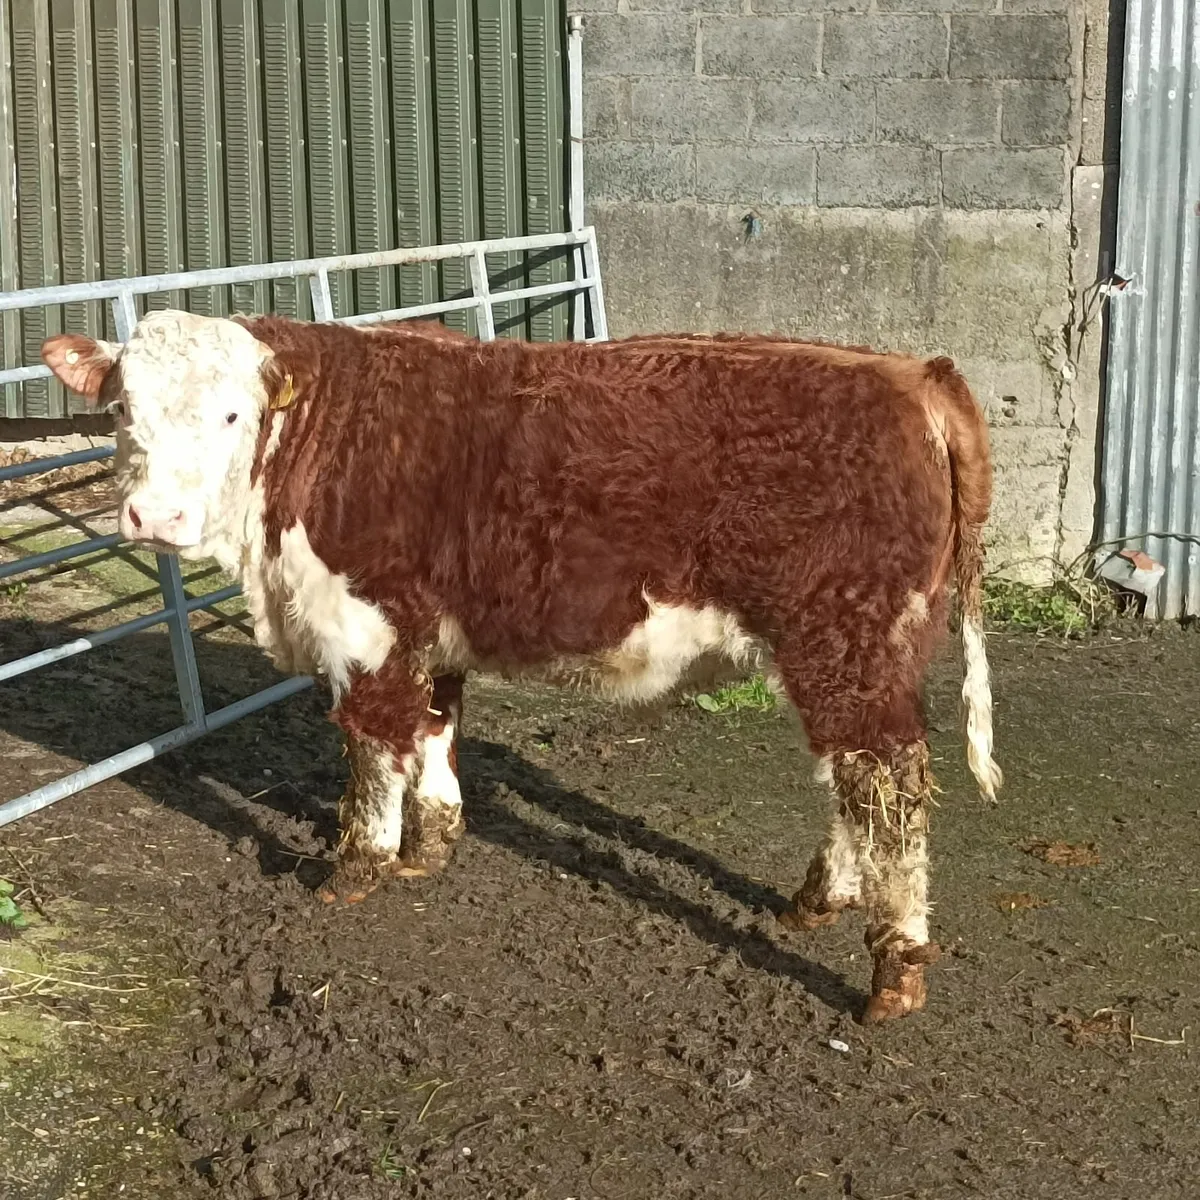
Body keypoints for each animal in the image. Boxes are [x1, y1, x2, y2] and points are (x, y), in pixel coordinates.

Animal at [42, 311, 1001, 1023]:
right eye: (124, 411)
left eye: (233, 415)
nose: (156, 517)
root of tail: (911, 372)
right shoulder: (428, 631)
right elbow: (433, 730)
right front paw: (431, 846)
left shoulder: (364, 626)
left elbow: (371, 749)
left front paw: (357, 869)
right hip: (850, 650)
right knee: (852, 778)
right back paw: (819, 900)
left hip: (848, 636)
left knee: (888, 783)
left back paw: (894, 973)